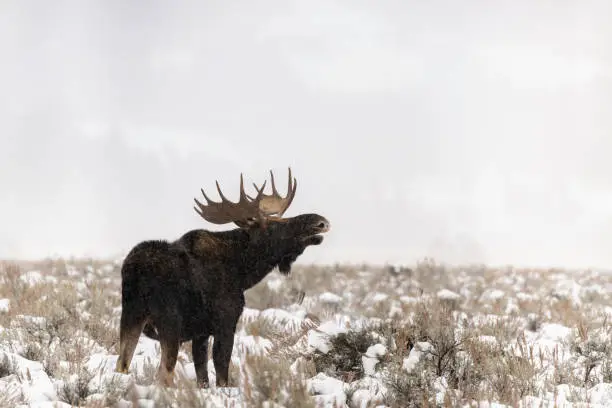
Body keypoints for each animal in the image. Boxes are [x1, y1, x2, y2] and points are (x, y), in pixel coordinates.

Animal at [114, 167, 330, 388]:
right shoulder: (226, 321)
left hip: (131, 314)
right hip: (168, 322)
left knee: (122, 364)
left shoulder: (200, 333)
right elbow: (221, 368)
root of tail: (135, 269)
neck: (242, 274)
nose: (321, 222)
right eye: (275, 226)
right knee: (163, 374)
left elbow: (202, 374)